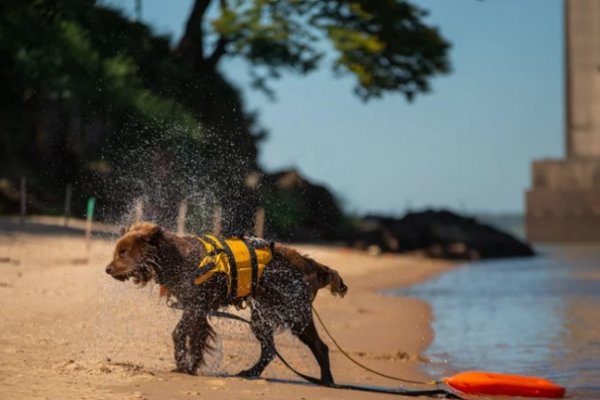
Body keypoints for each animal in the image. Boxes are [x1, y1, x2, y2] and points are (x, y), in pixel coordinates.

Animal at [103, 222, 346, 384]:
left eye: (123, 252)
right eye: (116, 251)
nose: (108, 269)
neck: (175, 259)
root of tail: (309, 264)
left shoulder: (196, 306)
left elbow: (182, 333)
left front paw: (184, 364)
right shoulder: (196, 307)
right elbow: (191, 336)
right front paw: (188, 365)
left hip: (294, 313)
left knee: (320, 346)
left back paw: (326, 380)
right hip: (261, 317)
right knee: (269, 349)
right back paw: (250, 373)